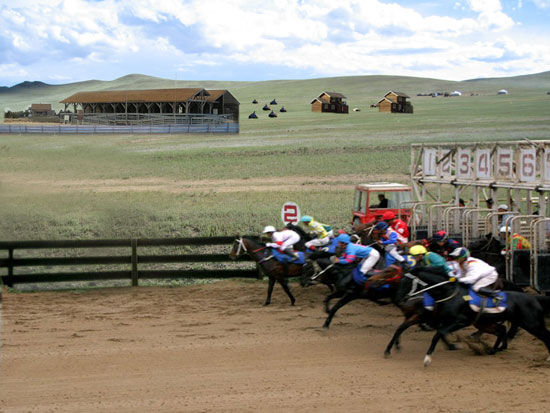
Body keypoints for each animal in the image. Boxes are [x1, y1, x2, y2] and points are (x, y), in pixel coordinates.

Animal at [414, 268, 550, 366]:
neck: (451, 293)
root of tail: (533, 298)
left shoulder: (461, 321)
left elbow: (439, 333)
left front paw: (427, 359)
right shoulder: (446, 319)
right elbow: (439, 332)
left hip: (531, 323)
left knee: (545, 336)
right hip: (486, 323)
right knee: (502, 330)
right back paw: (494, 349)